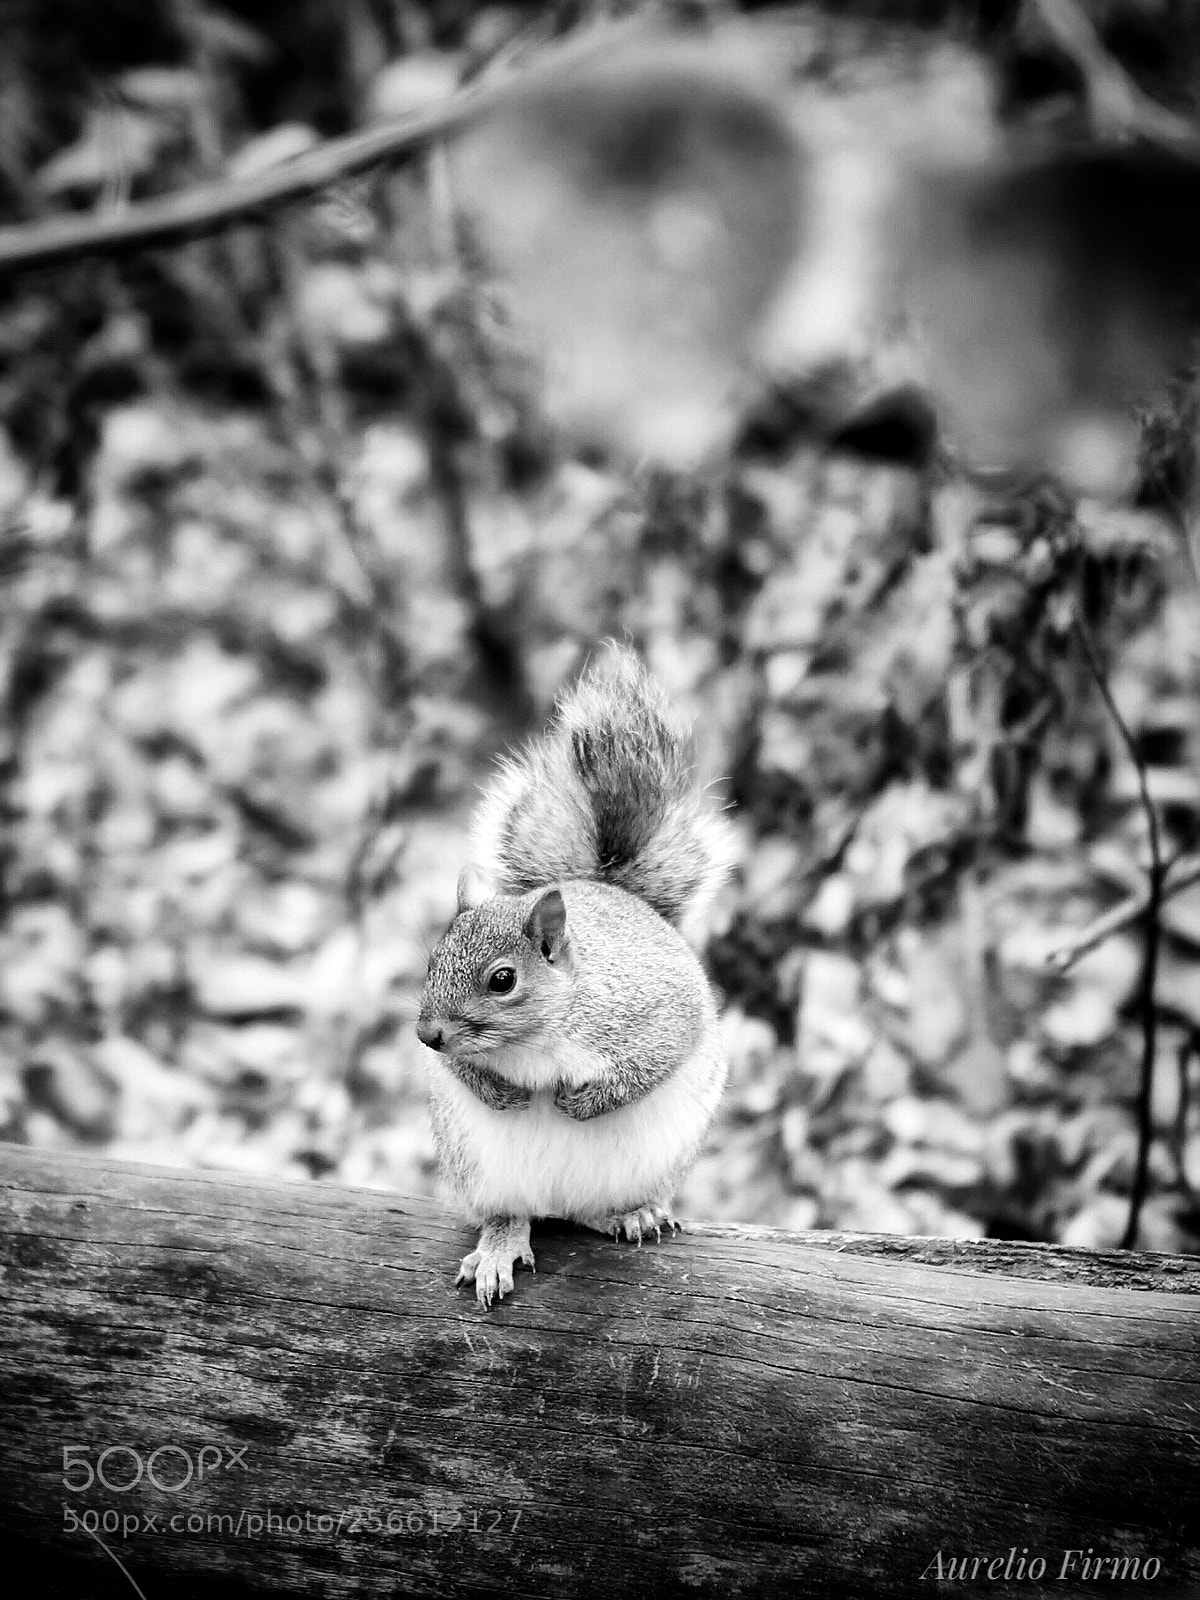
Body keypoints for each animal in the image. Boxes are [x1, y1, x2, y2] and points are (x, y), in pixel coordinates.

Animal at [416, 642, 735, 1307]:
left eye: (503, 980)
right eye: (432, 961)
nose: (426, 1035)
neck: (539, 1036)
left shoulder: (655, 1011)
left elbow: (653, 1060)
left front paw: (583, 1102)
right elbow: (462, 1069)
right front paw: (502, 1092)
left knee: (595, 1212)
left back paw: (632, 1214)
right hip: (479, 1169)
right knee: (511, 1213)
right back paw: (500, 1247)